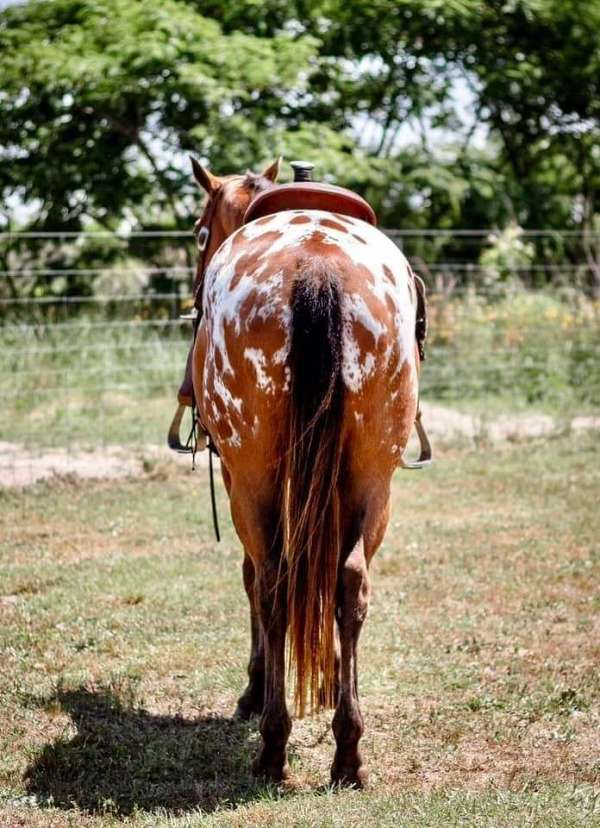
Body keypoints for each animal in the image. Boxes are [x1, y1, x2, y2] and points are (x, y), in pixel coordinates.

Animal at [188, 158, 426, 784]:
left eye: (199, 233)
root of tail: (318, 264)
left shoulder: (239, 478)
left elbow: (253, 577)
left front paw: (254, 691)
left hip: (253, 479)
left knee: (272, 581)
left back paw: (273, 745)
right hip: (373, 479)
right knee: (350, 582)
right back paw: (349, 751)